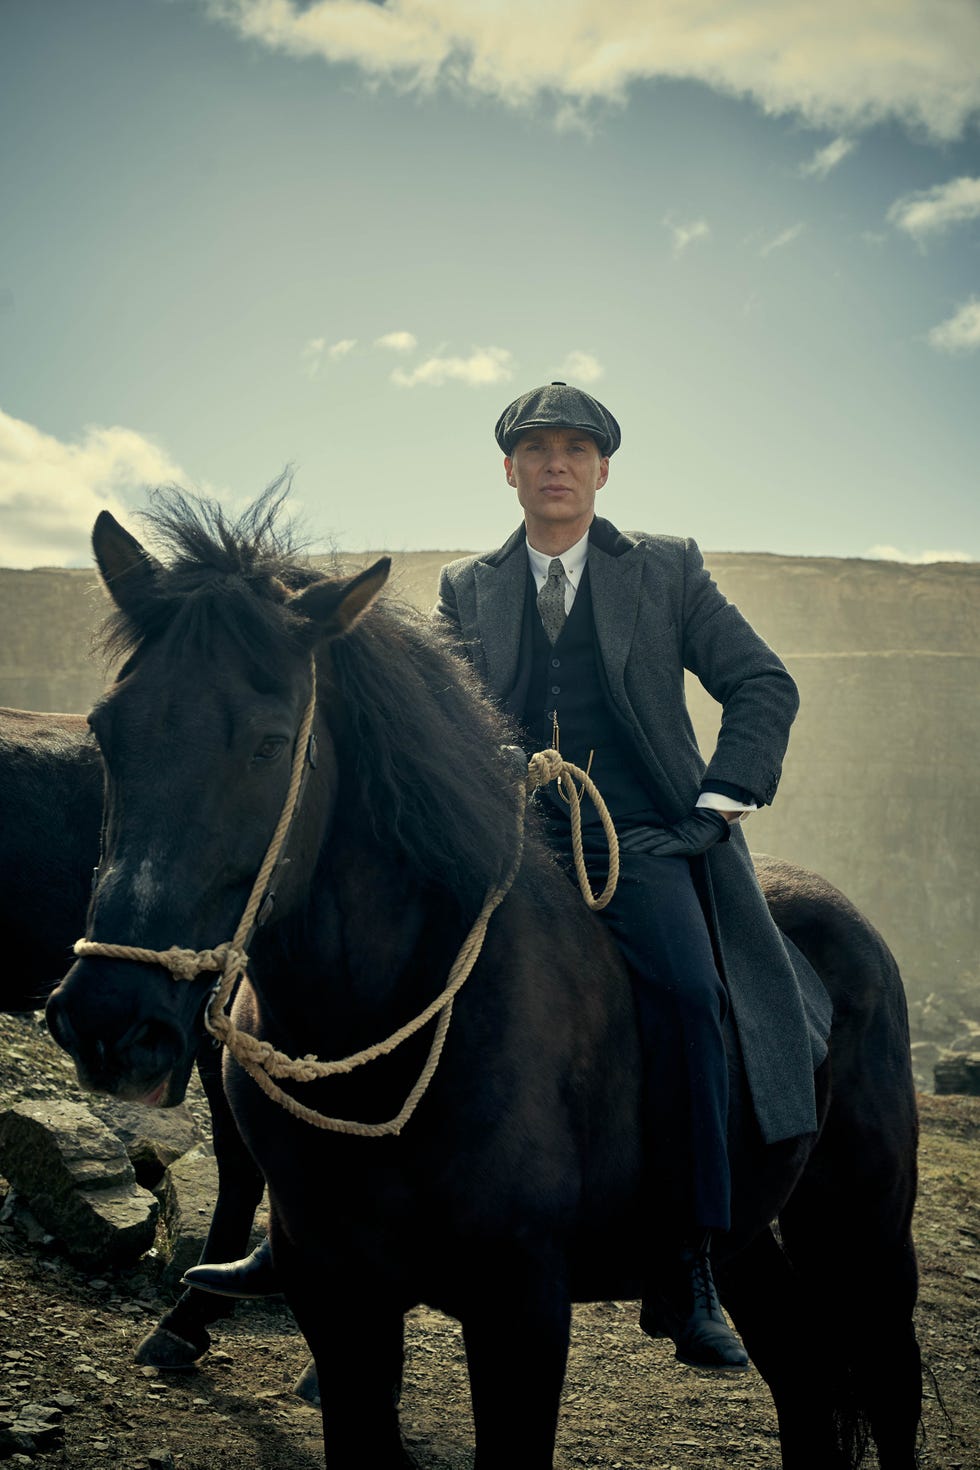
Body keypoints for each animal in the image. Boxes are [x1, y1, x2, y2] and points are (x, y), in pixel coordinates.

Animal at [45, 493, 922, 1470]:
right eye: (106, 730)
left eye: (271, 744)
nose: (109, 1021)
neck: (385, 1034)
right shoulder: (335, 1294)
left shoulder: (521, 1307)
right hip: (754, 1243)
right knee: (805, 1385)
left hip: (866, 1233)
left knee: (888, 1391)